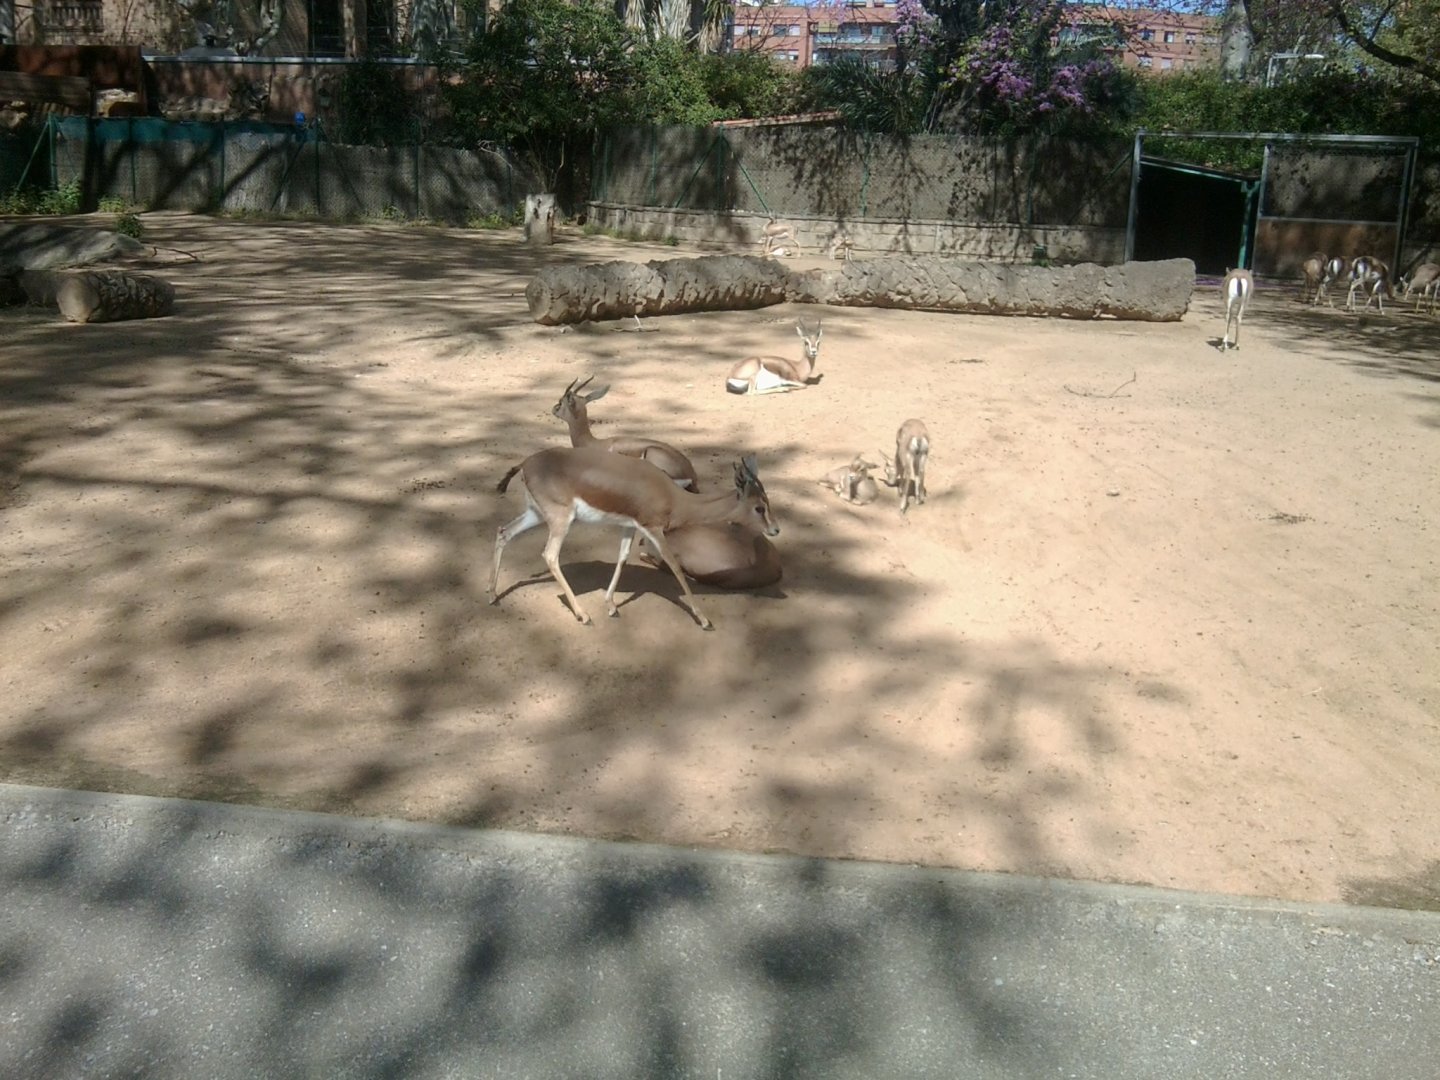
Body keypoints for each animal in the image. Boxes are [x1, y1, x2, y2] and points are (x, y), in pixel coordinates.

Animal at [490, 448, 777, 629]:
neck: (675, 498)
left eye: (767, 502)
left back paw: (492, 595)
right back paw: (583, 616)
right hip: (561, 520)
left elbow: (623, 557)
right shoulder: (654, 529)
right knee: (550, 555)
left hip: (536, 514)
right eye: (759, 507)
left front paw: (611, 606)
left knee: (504, 532)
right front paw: (704, 620)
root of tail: (526, 463)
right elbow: (675, 567)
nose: (775, 530)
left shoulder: (630, 527)